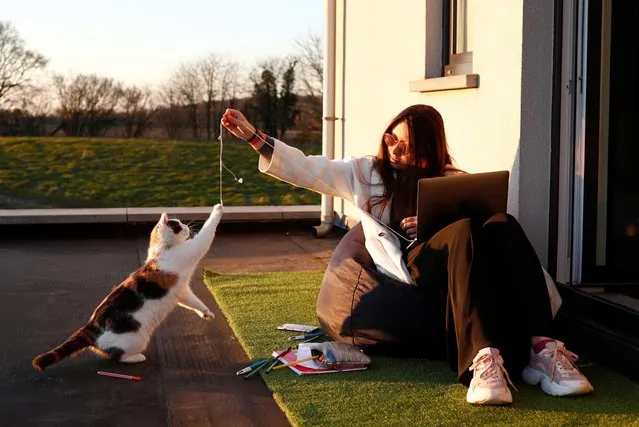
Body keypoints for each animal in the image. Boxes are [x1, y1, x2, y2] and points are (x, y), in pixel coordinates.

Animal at [31, 204, 225, 372]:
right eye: (177, 225)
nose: (186, 226)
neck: (160, 252)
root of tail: (90, 328)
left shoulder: (182, 291)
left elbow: (194, 303)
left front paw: (206, 313)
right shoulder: (193, 249)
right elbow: (206, 233)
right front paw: (218, 209)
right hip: (137, 339)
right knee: (119, 357)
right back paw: (137, 357)